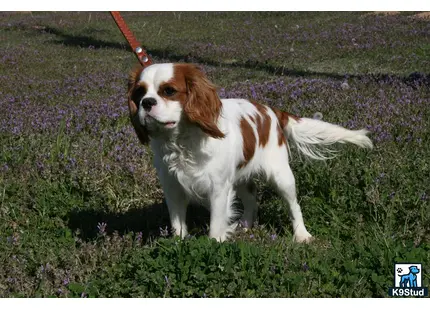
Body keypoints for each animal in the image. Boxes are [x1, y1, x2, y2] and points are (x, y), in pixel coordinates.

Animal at [126, 63, 372, 242]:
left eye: (169, 91)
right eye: (139, 93)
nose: (146, 103)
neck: (183, 140)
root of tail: (273, 111)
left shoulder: (218, 188)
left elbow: (215, 226)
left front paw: (214, 245)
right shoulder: (173, 188)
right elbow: (178, 226)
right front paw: (179, 245)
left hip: (282, 176)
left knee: (294, 206)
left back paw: (302, 235)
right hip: (242, 177)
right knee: (252, 199)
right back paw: (245, 226)